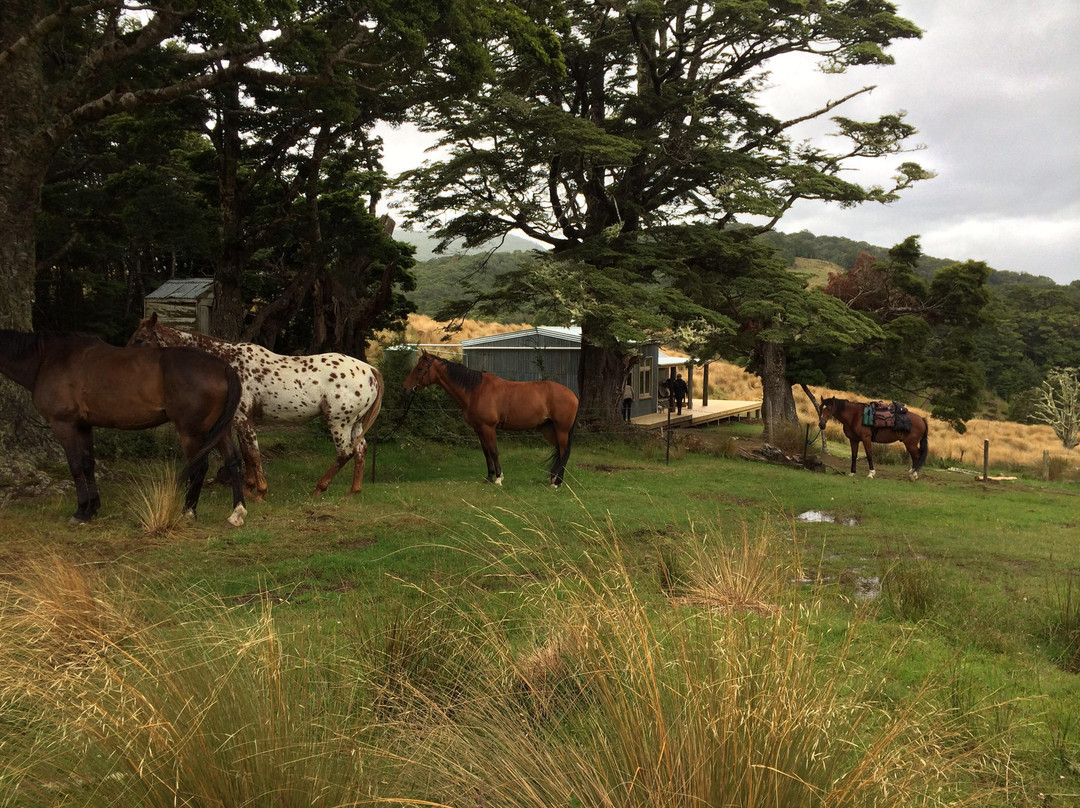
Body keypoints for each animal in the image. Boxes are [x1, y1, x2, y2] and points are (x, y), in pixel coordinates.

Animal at [0, 330, 247, 527]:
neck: (48, 359)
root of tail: (223, 367)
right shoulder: (84, 426)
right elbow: (88, 464)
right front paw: (92, 508)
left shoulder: (64, 425)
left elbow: (76, 467)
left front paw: (80, 512)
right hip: (219, 429)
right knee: (233, 461)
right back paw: (237, 512)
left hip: (192, 432)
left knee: (199, 466)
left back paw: (187, 512)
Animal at [127, 313, 384, 499]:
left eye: (140, 338)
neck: (229, 363)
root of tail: (369, 369)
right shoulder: (241, 420)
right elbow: (246, 454)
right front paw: (250, 488)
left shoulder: (242, 419)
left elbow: (253, 453)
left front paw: (260, 491)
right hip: (355, 424)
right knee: (360, 451)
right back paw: (353, 492)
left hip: (338, 422)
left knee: (344, 453)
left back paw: (319, 489)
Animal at [401, 347, 578, 486]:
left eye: (419, 369)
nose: (405, 388)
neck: (475, 390)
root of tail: (573, 395)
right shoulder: (478, 429)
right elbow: (486, 452)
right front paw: (489, 477)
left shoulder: (488, 427)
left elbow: (494, 451)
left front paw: (499, 478)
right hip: (547, 429)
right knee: (560, 451)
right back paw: (553, 479)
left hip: (561, 430)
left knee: (564, 451)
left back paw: (557, 483)